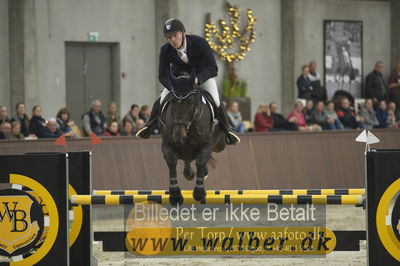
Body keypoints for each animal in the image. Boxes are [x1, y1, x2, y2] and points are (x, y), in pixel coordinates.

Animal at [160, 70, 228, 204]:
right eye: (172, 100)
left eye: (190, 102)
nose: (178, 136)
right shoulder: (167, 143)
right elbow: (171, 161)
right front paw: (175, 195)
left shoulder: (206, 144)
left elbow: (201, 161)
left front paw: (199, 193)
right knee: (187, 158)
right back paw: (189, 173)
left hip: (220, 145)